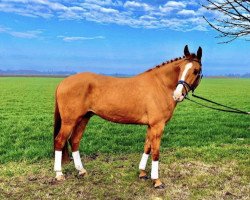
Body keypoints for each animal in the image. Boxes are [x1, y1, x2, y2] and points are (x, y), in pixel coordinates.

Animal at [53, 44, 203, 188]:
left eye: (196, 71)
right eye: (181, 69)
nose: (177, 95)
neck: (160, 85)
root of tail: (63, 82)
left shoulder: (151, 126)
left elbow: (147, 147)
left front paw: (142, 173)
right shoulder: (158, 125)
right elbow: (155, 152)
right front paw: (156, 181)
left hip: (84, 118)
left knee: (74, 141)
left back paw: (81, 171)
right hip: (69, 121)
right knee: (60, 141)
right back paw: (59, 174)